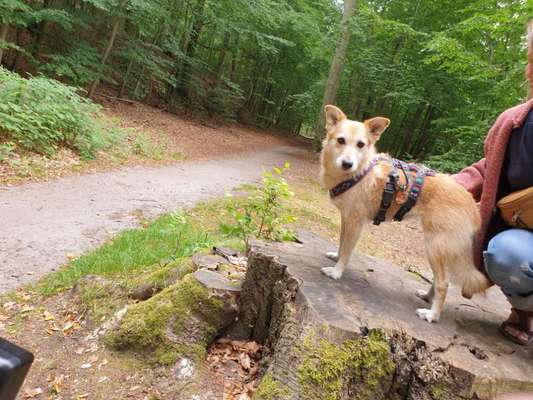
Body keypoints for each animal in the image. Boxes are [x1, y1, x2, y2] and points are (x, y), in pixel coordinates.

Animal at [318, 104, 488, 324]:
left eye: (361, 144)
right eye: (340, 140)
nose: (347, 163)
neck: (359, 172)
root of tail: (470, 202)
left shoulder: (355, 223)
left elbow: (347, 251)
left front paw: (337, 272)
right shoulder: (346, 219)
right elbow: (341, 244)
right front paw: (335, 257)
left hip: (435, 246)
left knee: (444, 283)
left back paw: (432, 315)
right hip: (438, 249)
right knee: (439, 280)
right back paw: (427, 297)